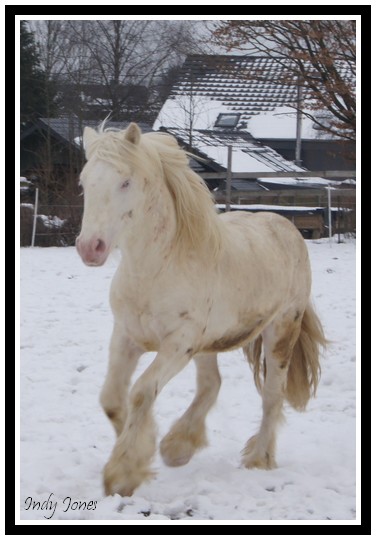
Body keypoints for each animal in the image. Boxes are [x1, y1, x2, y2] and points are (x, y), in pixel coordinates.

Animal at [76, 122, 326, 498]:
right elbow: (112, 399)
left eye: (125, 182)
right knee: (212, 384)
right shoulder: (127, 336)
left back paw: (258, 457)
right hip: (208, 345)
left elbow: (140, 393)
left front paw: (123, 472)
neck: (157, 269)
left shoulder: (178, 344)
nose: (90, 248)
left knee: (271, 396)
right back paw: (179, 447)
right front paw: (141, 452)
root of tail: (286, 227)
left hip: (280, 331)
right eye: (84, 182)